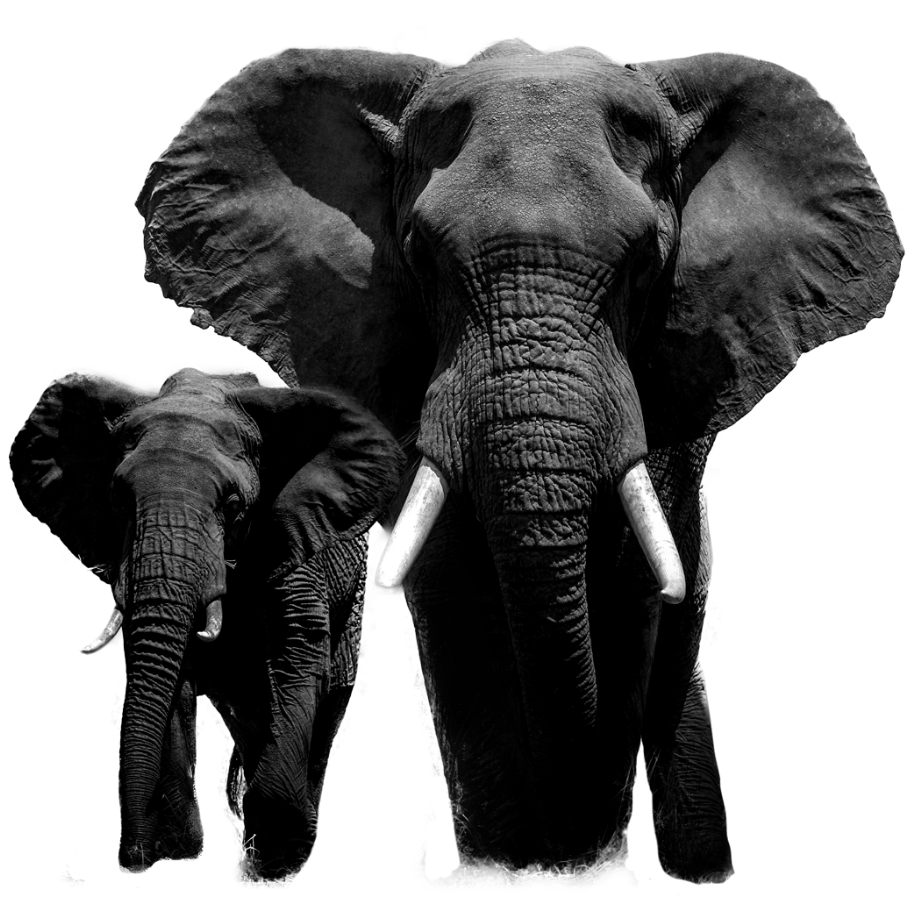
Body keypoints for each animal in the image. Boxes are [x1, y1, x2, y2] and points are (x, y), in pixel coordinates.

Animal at [8, 364, 405, 884]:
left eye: (233, 507)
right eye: (118, 501)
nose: (131, 864)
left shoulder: (292, 536)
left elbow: (295, 651)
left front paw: (269, 870)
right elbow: (170, 671)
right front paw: (179, 853)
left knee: (329, 691)